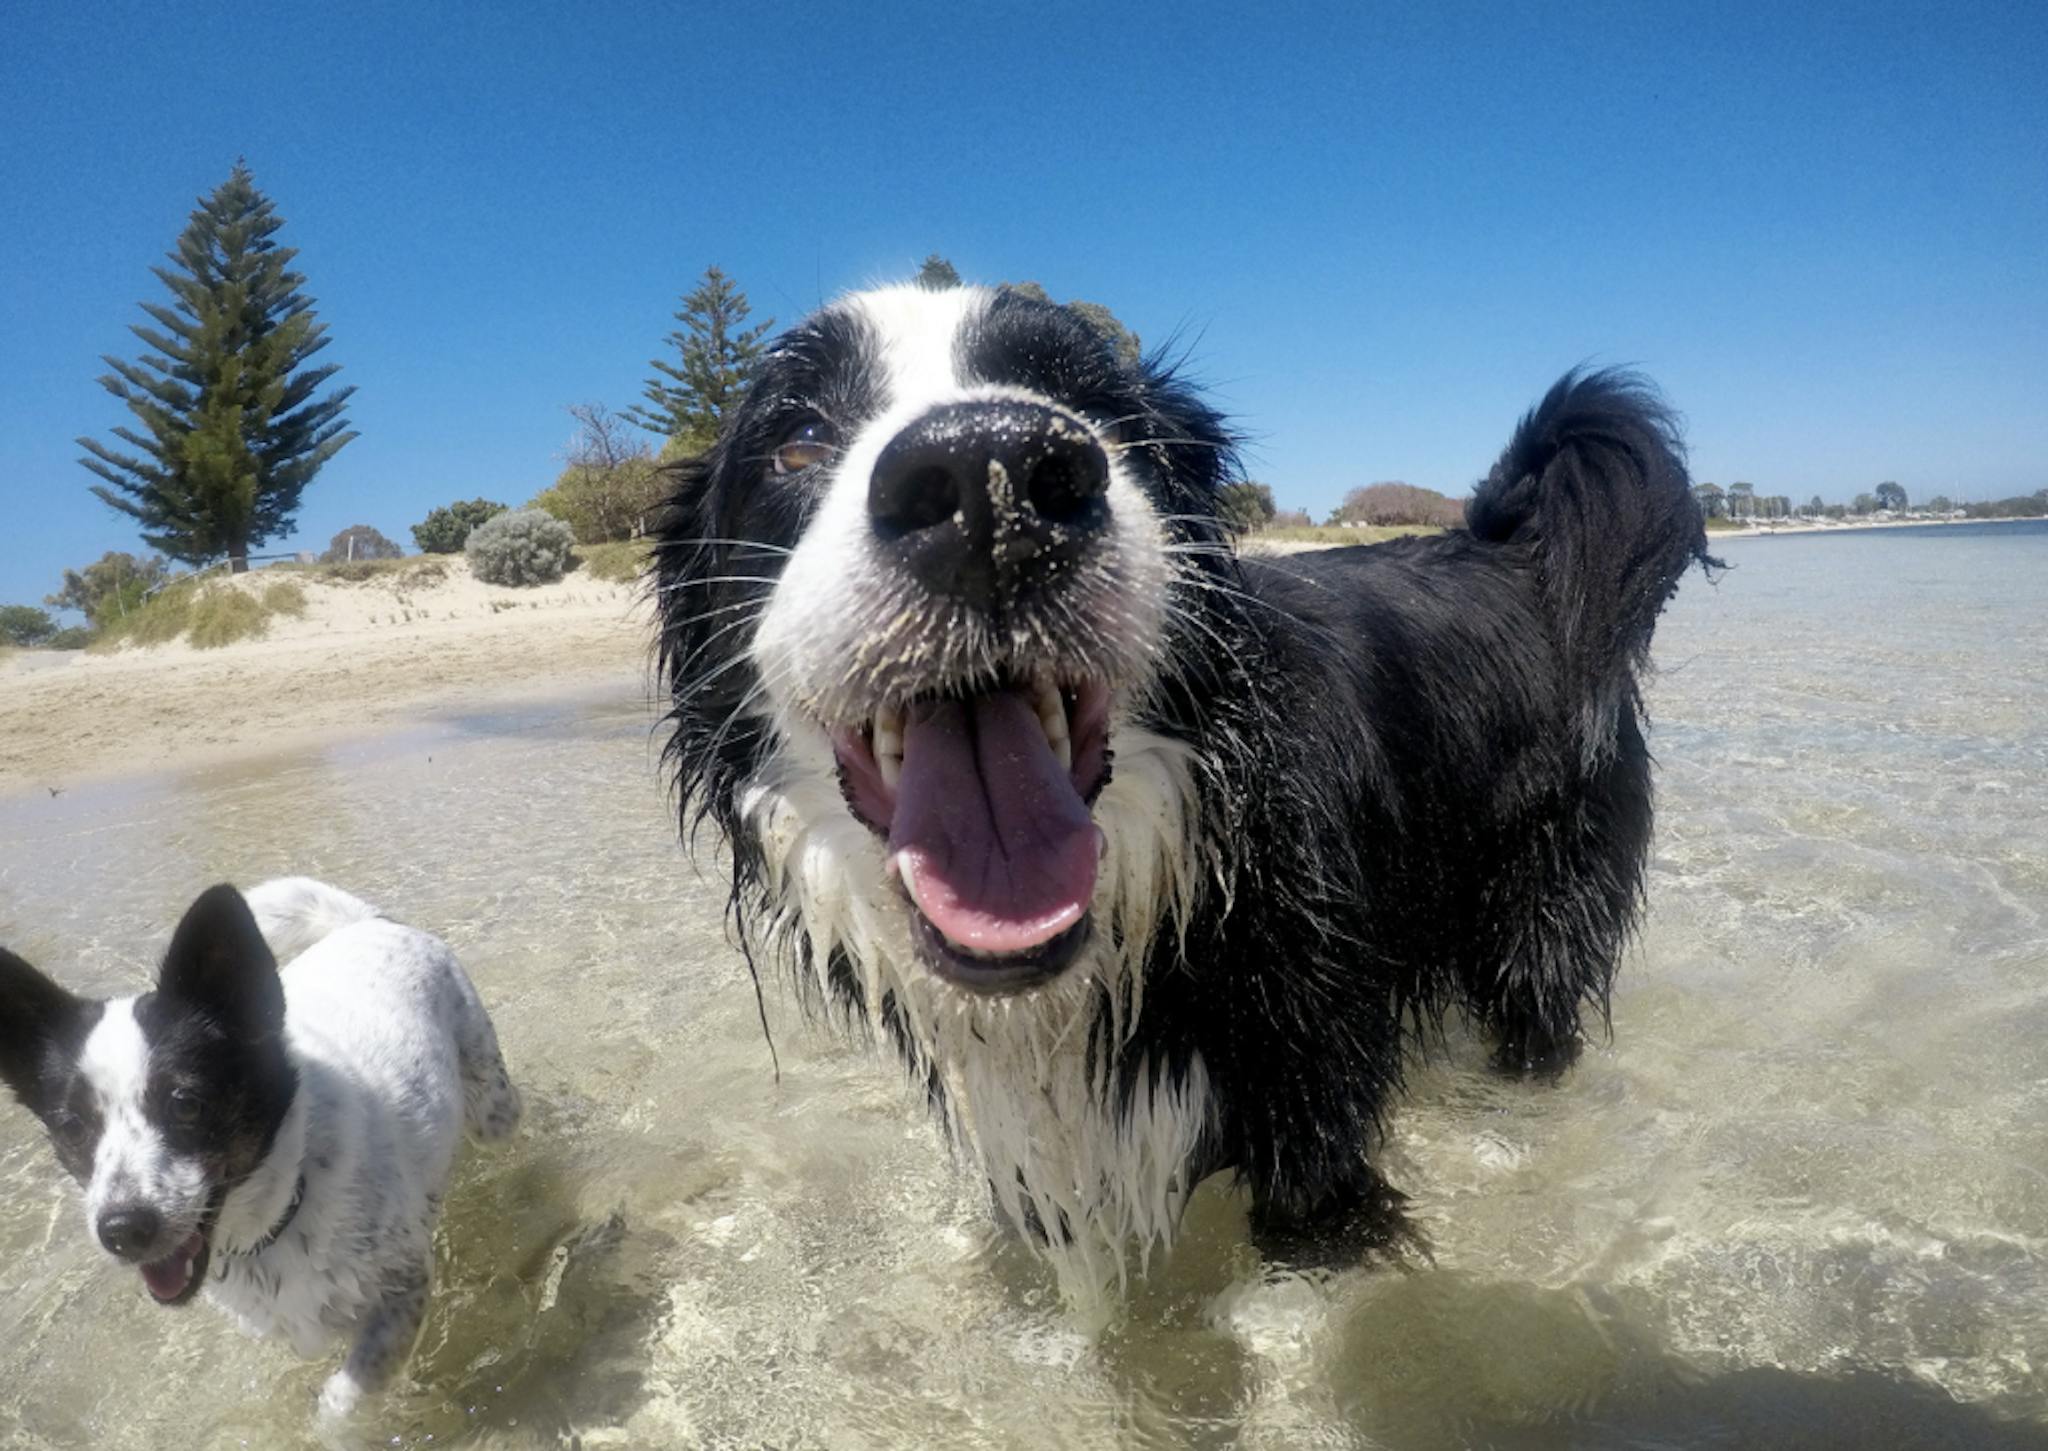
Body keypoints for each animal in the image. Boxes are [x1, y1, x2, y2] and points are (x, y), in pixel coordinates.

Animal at [0, 877, 520, 1426]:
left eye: (185, 1103)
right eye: (72, 1127)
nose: (122, 1231)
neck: (286, 1198)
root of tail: (370, 923)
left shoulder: (405, 1287)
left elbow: (342, 1402)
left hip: (494, 1111)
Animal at [655, 282, 1712, 1303]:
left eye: (1100, 411)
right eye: (797, 437)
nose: (989, 478)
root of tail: (1509, 548)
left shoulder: (1310, 1097)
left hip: (1539, 902)